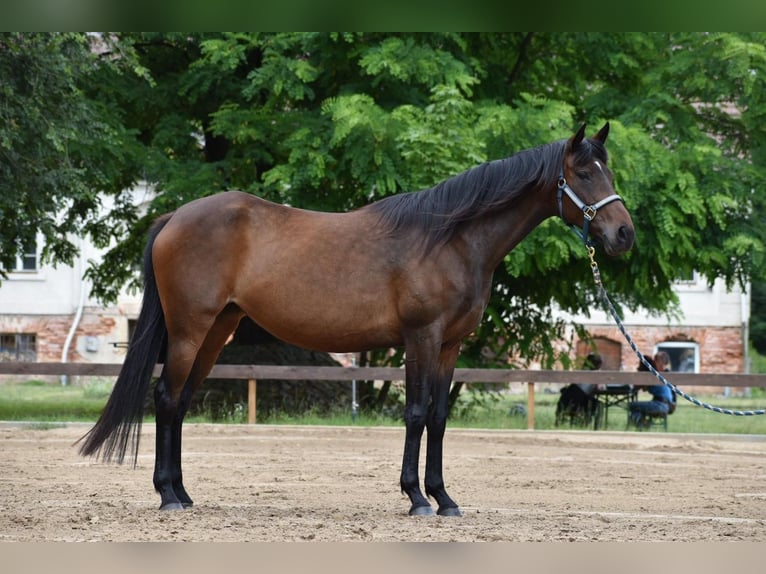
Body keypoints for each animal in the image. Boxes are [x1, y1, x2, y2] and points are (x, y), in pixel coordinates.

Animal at [79, 125, 636, 516]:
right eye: (585, 174)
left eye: (609, 173)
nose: (624, 235)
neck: (450, 238)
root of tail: (173, 218)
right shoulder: (421, 337)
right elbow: (415, 413)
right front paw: (417, 499)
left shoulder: (450, 345)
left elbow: (439, 417)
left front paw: (445, 499)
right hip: (190, 329)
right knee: (166, 397)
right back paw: (168, 496)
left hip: (218, 330)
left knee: (181, 402)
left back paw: (184, 492)